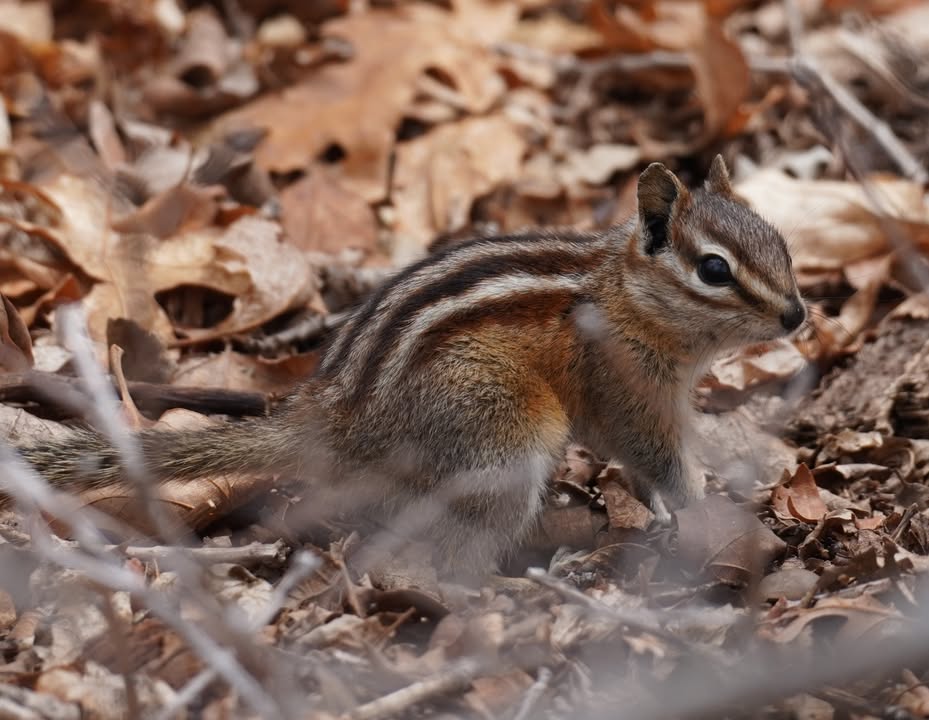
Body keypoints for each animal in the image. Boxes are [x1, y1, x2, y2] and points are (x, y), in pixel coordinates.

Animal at [8, 156, 805, 577]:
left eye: (780, 243)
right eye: (712, 269)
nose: (797, 316)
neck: (625, 293)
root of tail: (335, 421)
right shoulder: (625, 388)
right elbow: (656, 454)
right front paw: (702, 504)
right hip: (502, 441)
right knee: (451, 550)